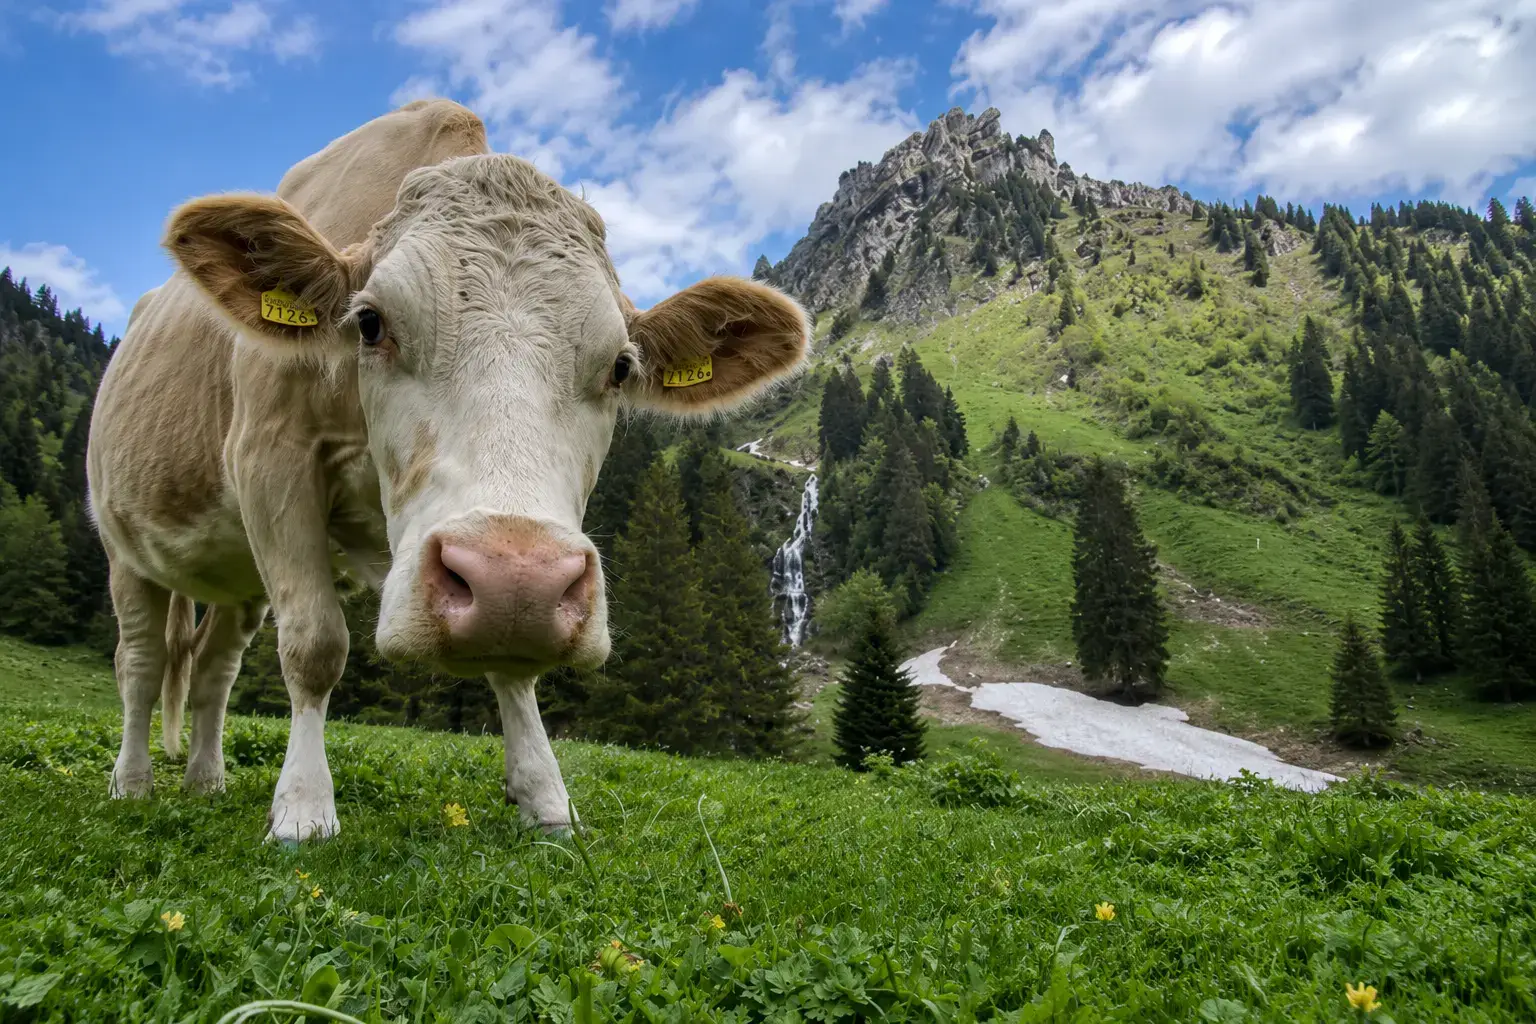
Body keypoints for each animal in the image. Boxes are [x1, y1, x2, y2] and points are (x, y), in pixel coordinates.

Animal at [86, 100, 809, 842]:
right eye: (370, 324)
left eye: (620, 367)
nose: (516, 579)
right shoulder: (270, 456)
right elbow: (314, 645)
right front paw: (303, 808)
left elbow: (515, 672)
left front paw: (546, 798)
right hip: (122, 545)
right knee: (140, 662)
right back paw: (132, 783)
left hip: (237, 583)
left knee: (211, 668)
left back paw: (205, 780)